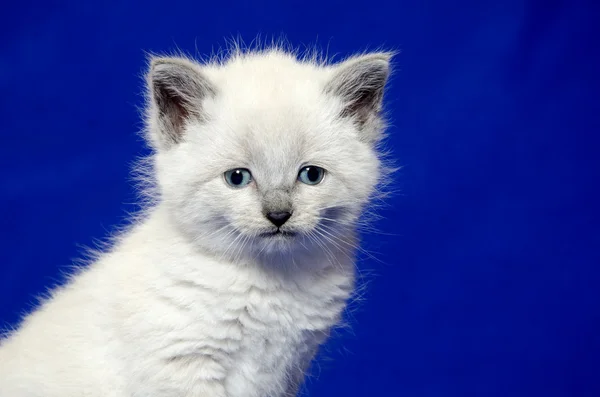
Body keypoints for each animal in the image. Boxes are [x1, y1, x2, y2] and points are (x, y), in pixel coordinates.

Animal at [0, 45, 394, 396]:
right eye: (237, 178)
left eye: (311, 175)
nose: (278, 215)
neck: (270, 282)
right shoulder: (182, 366)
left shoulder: (287, 371)